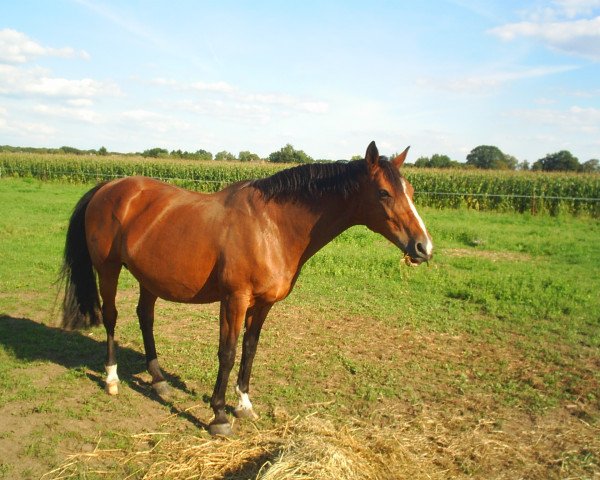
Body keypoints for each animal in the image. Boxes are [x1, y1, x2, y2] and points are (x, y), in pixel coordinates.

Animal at [59, 140, 432, 436]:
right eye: (384, 192)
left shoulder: (263, 304)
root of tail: (108, 187)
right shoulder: (234, 300)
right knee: (111, 316)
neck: (271, 227)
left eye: (412, 192)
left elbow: (250, 350)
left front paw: (244, 405)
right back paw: (112, 379)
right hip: (108, 270)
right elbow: (227, 352)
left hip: (149, 277)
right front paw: (219, 415)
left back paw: (159, 381)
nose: (423, 247)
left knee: (144, 317)